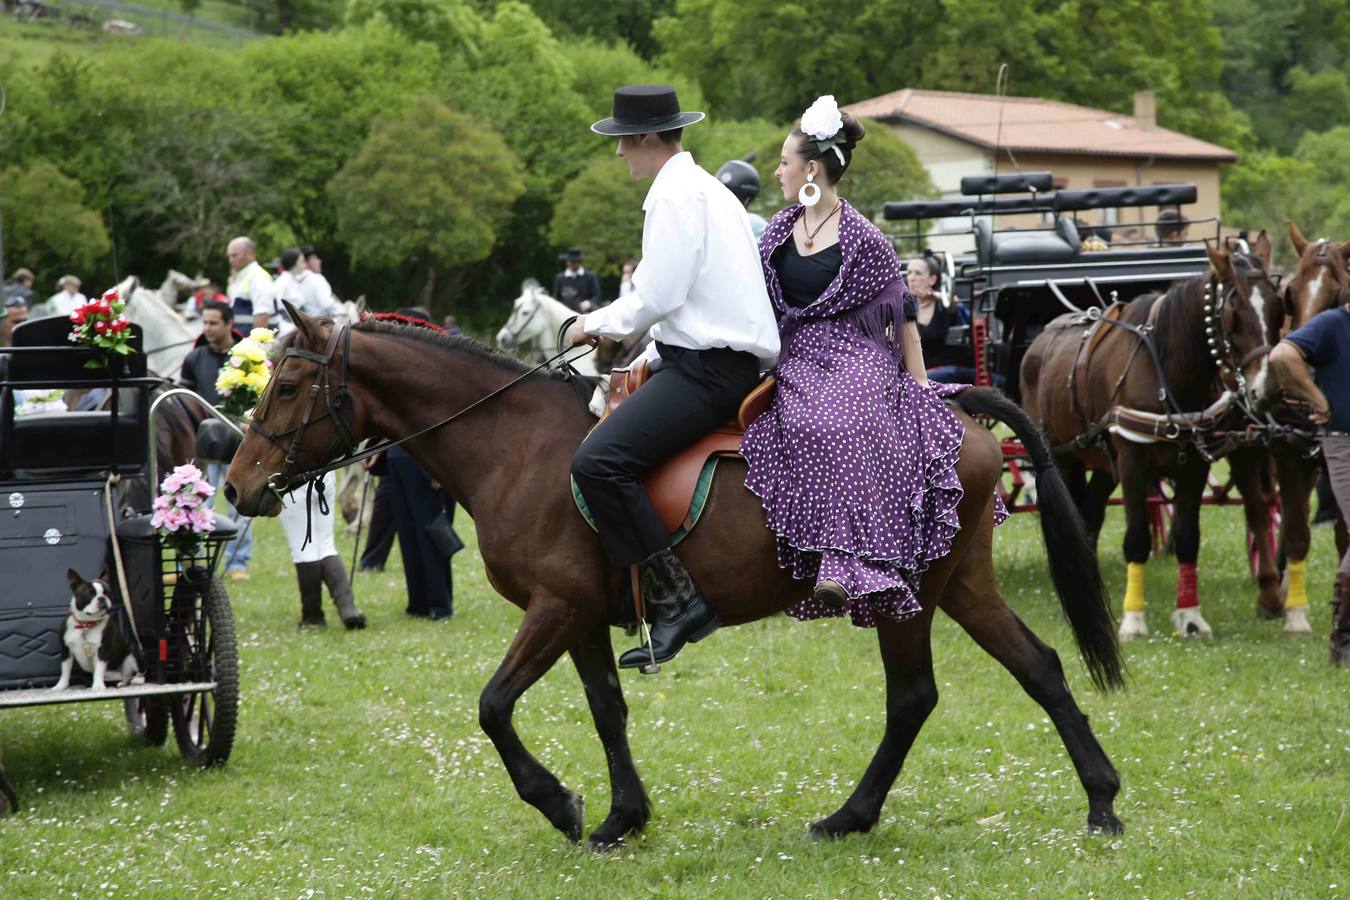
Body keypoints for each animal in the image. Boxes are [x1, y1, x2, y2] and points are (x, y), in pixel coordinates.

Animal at [52, 566, 141, 696]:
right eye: (89, 594)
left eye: (107, 592)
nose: (102, 598)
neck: (86, 624)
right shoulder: (66, 650)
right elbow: (65, 670)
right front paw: (60, 686)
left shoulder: (102, 650)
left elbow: (99, 669)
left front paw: (98, 686)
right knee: (123, 679)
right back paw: (121, 683)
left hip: (134, 650)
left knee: (139, 671)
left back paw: (138, 679)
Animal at [224, 310, 1128, 852]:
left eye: (290, 386)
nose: (236, 486)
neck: (514, 444)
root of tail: (958, 410)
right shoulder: (582, 617)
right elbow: (606, 712)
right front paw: (622, 817)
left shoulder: (555, 608)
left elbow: (493, 706)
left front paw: (559, 802)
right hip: (962, 584)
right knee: (1041, 668)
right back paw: (1101, 798)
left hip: (909, 597)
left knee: (913, 698)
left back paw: (853, 815)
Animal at [1015, 236, 1279, 636]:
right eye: (1234, 310)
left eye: (1279, 305)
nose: (1264, 388)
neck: (1167, 371)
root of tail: (1041, 339)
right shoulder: (1133, 464)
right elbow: (1137, 539)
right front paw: (1134, 620)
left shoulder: (1193, 466)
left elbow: (1188, 538)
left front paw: (1190, 616)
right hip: (1062, 457)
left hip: (1103, 463)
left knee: (1089, 516)